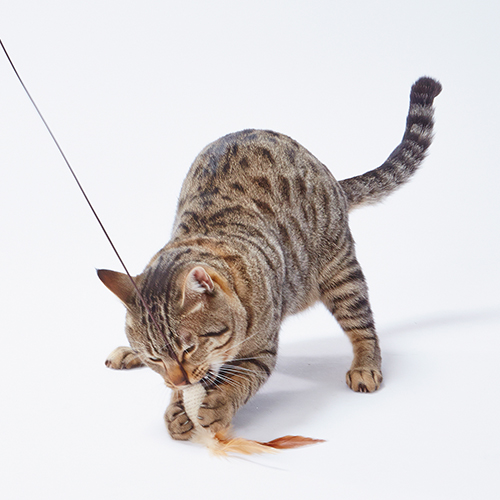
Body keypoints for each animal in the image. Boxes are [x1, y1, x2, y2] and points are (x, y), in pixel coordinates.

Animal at [98, 77, 441, 441]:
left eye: (188, 349)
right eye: (155, 358)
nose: (177, 379)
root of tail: (331, 179)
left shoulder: (261, 353)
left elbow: (240, 380)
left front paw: (217, 405)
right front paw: (177, 406)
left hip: (340, 275)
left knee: (363, 326)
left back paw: (365, 364)